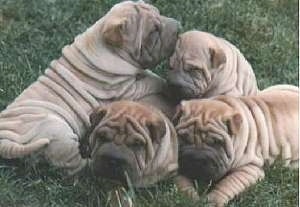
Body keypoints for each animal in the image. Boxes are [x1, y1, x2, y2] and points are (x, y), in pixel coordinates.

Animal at [0, 0, 180, 175]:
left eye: (158, 13)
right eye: (154, 31)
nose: (178, 27)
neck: (102, 44)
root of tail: (7, 143)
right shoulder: (127, 88)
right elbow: (151, 80)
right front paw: (165, 84)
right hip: (61, 138)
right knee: (74, 165)